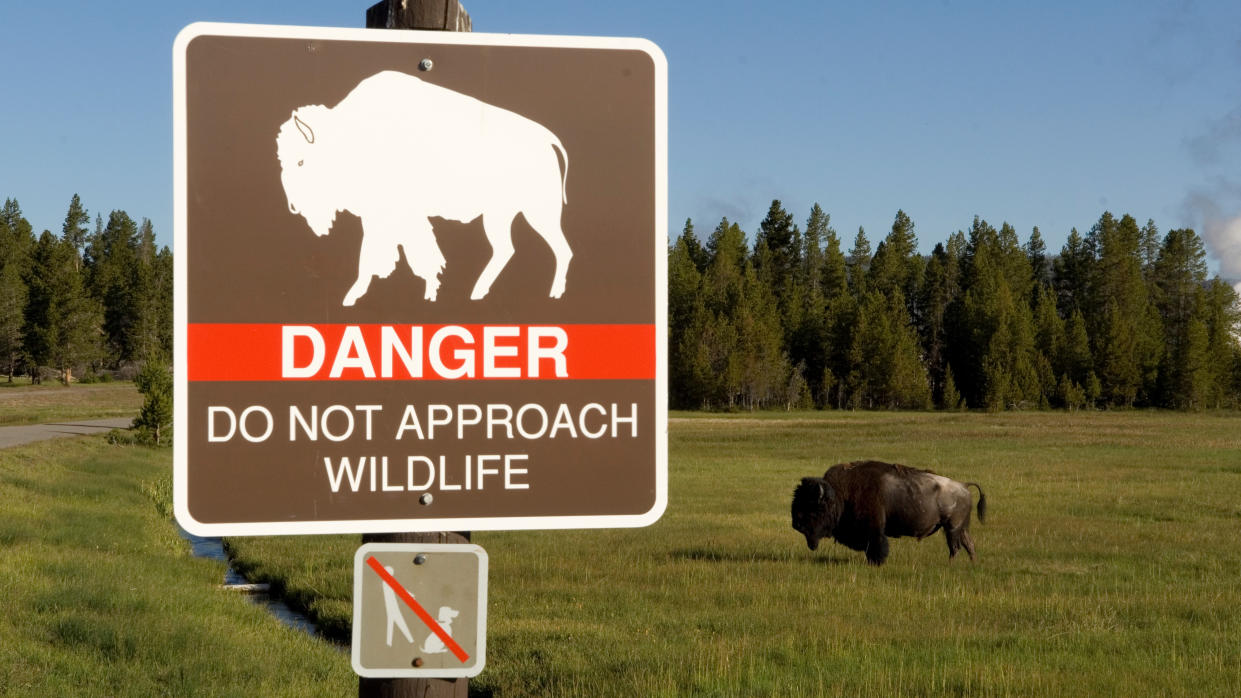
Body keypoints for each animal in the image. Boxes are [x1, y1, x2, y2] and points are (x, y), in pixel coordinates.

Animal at [276, 69, 570, 305]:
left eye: (301, 160)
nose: (293, 206)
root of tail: (548, 139)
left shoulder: (391, 215)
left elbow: (383, 255)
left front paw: (354, 296)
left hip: (538, 214)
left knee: (560, 249)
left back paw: (552, 293)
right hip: (499, 216)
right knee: (506, 249)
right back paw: (477, 293)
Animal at [789, 459, 982, 561]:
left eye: (814, 509)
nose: (796, 524)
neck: (840, 494)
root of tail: (964, 486)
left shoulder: (874, 529)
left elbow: (876, 546)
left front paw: (876, 562)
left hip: (952, 528)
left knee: (955, 547)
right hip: (960, 528)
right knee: (968, 544)